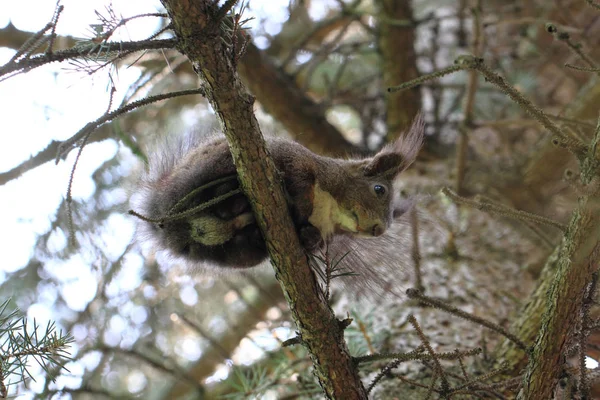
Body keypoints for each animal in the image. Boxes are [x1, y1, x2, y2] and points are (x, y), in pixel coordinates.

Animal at [131, 115, 424, 272]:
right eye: (379, 189)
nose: (379, 230)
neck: (328, 208)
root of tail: (162, 219)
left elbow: (316, 240)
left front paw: (311, 238)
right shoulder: (296, 161)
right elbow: (299, 178)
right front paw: (300, 206)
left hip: (230, 255)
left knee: (239, 248)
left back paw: (248, 229)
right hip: (212, 165)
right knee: (207, 193)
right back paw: (231, 201)